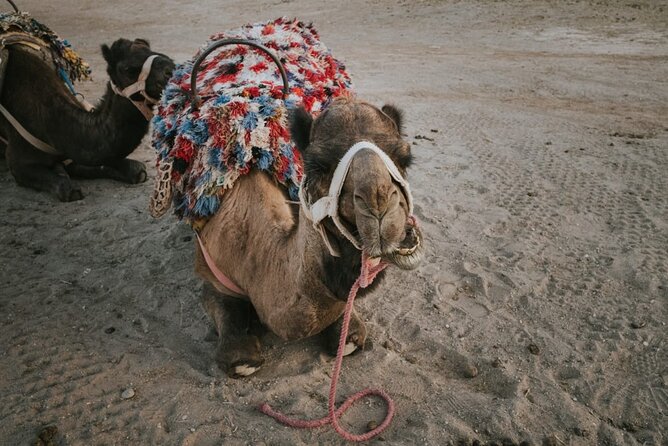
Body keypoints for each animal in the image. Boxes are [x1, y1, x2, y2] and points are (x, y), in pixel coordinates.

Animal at [0, 29, 174, 201]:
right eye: (128, 69)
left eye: (159, 54)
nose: (171, 68)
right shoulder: (18, 161)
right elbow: (65, 186)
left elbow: (132, 169)